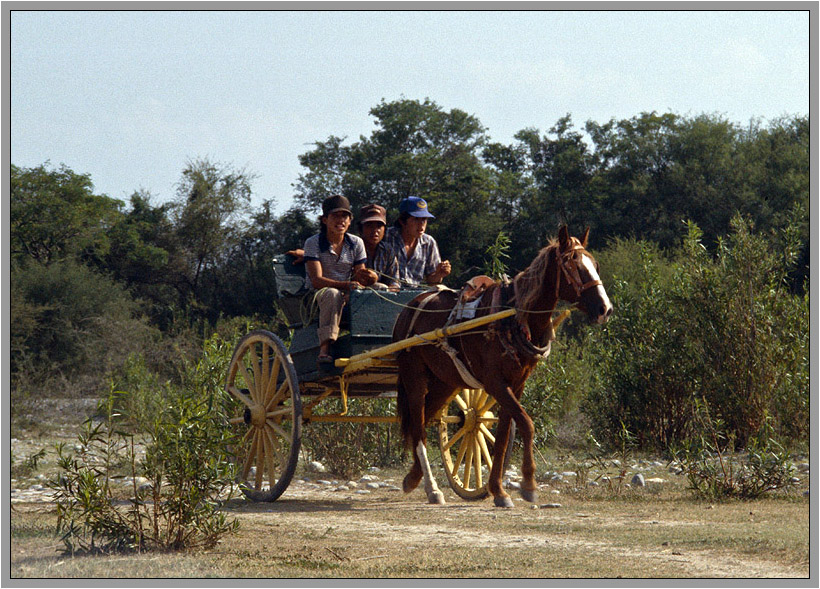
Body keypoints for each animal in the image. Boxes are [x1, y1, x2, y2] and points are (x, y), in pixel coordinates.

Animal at [394, 225, 612, 506]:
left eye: (595, 264)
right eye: (573, 266)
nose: (605, 308)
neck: (513, 317)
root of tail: (409, 307)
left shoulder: (516, 384)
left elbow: (503, 436)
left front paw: (498, 490)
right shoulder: (495, 383)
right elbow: (527, 424)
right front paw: (528, 484)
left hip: (445, 382)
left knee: (423, 419)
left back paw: (414, 477)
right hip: (414, 377)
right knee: (418, 426)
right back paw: (432, 488)